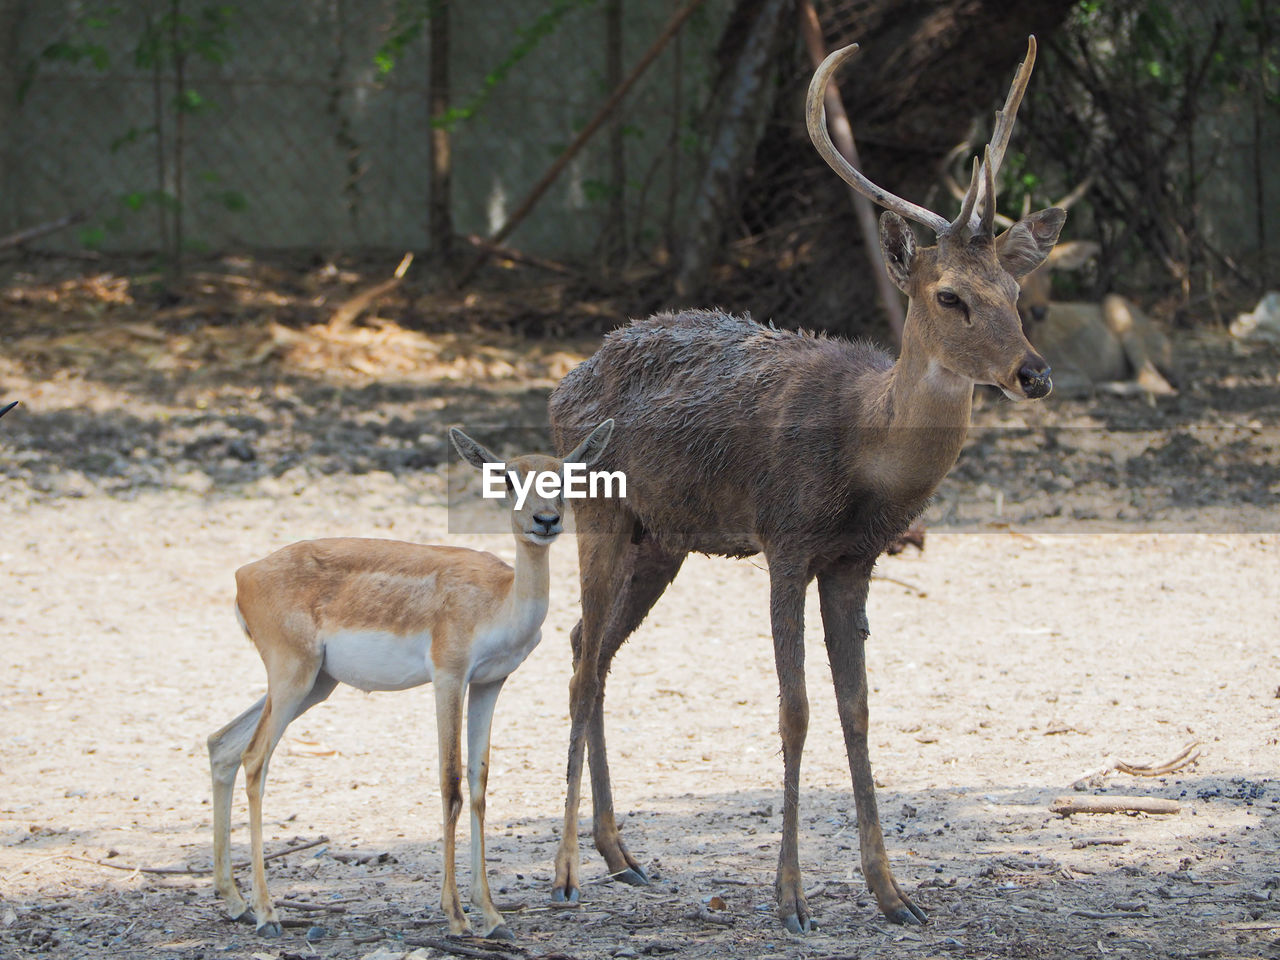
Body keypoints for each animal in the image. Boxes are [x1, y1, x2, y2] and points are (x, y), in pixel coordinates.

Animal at [206, 419, 614, 942]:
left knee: (222, 744)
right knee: (255, 759)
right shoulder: (448, 676)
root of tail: (244, 574)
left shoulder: (490, 683)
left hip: (313, 685)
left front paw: (492, 915)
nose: (545, 521)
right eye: (507, 478)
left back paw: (236, 903)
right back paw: (267, 913)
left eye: (566, 478)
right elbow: (450, 783)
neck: (499, 600)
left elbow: (479, 786)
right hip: (291, 675)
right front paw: (456, 915)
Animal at [545, 39, 1064, 942]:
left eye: (1016, 294)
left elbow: (857, 709)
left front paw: (894, 894)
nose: (1033, 373)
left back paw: (623, 854)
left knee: (590, 646)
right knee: (579, 661)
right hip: (598, 508)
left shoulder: (855, 561)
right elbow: (796, 710)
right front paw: (789, 899)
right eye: (950, 296)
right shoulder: (785, 541)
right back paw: (569, 873)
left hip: (662, 539)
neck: (864, 458)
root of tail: (560, 387)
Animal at [947, 161, 1172, 394]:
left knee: (1156, 381)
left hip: (1118, 308)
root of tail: (1166, 343)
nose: (1039, 310)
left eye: (1050, 270)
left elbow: (1078, 381)